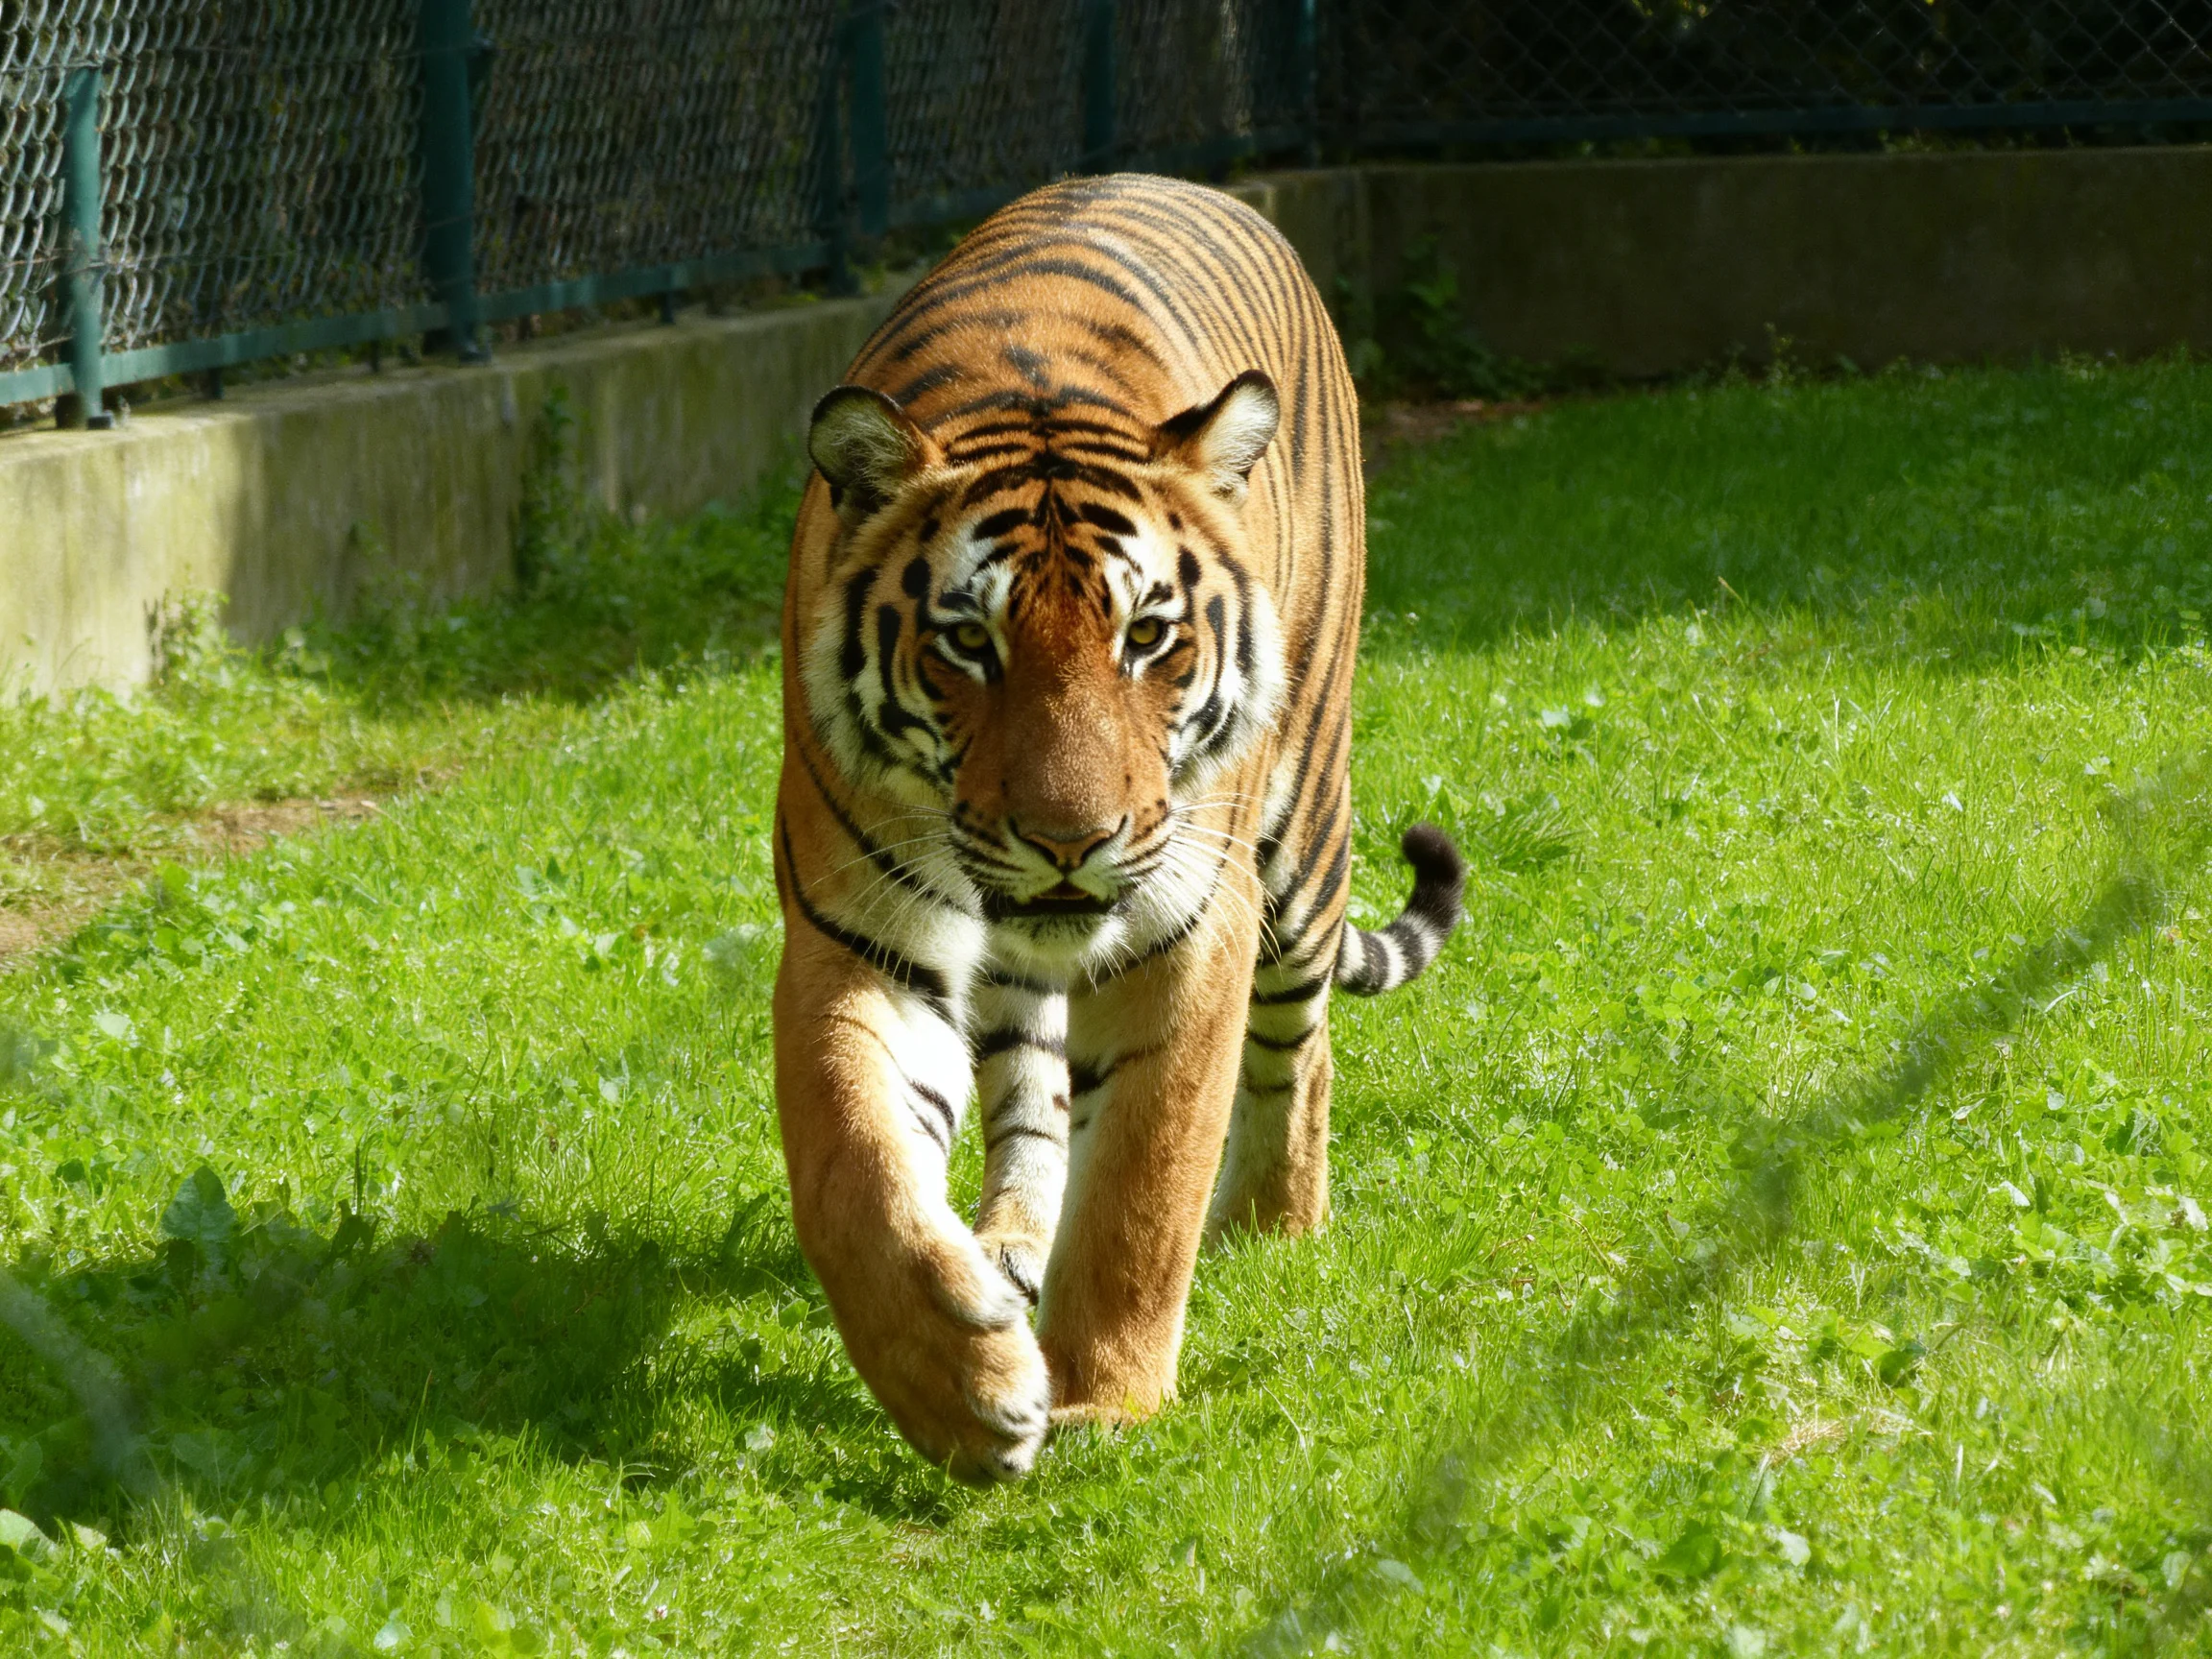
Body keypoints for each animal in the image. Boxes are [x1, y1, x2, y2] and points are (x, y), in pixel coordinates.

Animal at [772, 173, 1465, 1484]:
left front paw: (1103, 1397)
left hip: (1300, 839)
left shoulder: (1187, 929)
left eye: (1146, 635)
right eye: (968, 643)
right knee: (1032, 1088)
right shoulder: (856, 935)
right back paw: (1005, 1246)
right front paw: (961, 1383)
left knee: (1298, 1052)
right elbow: (851, 1165)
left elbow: (1145, 1181)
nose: (1067, 839)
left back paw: (1276, 1228)